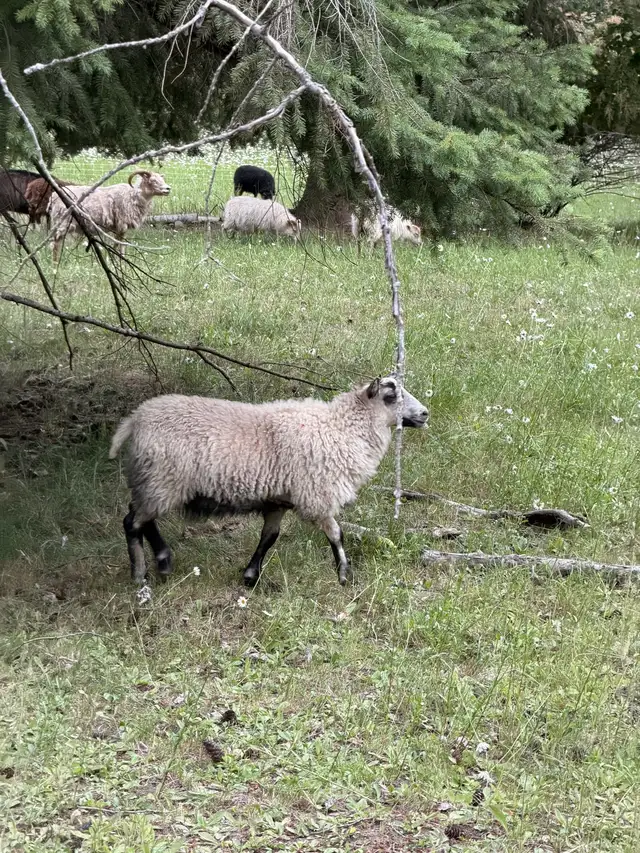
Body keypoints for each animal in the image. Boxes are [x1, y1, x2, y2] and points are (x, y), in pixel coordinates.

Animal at [109, 375, 429, 587]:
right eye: (391, 396)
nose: (425, 413)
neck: (341, 428)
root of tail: (135, 420)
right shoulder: (317, 495)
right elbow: (336, 534)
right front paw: (344, 574)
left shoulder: (278, 501)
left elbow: (269, 538)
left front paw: (251, 576)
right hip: (161, 480)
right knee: (133, 523)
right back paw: (141, 575)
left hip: (152, 482)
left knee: (140, 518)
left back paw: (162, 562)